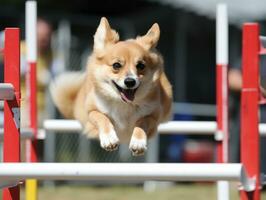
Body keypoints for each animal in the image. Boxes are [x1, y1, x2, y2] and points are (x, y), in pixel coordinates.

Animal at [50, 17, 172, 156]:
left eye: (141, 66)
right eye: (116, 65)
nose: (130, 81)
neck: (123, 104)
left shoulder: (153, 117)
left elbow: (142, 122)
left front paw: (138, 142)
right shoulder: (91, 111)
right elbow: (102, 117)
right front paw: (109, 138)